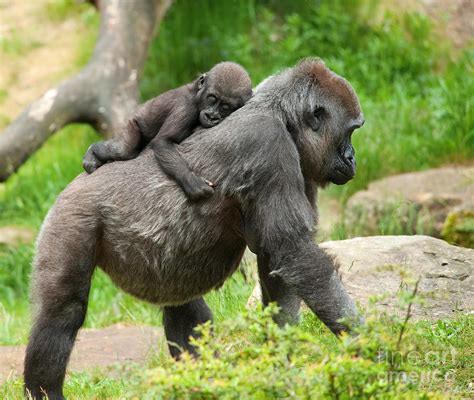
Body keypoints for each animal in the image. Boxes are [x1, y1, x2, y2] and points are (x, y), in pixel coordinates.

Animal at [82, 61, 252, 199]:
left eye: (225, 107)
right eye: (212, 98)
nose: (211, 116)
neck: (196, 93)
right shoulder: (186, 107)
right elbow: (163, 142)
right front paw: (190, 180)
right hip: (131, 122)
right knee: (122, 150)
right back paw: (93, 151)